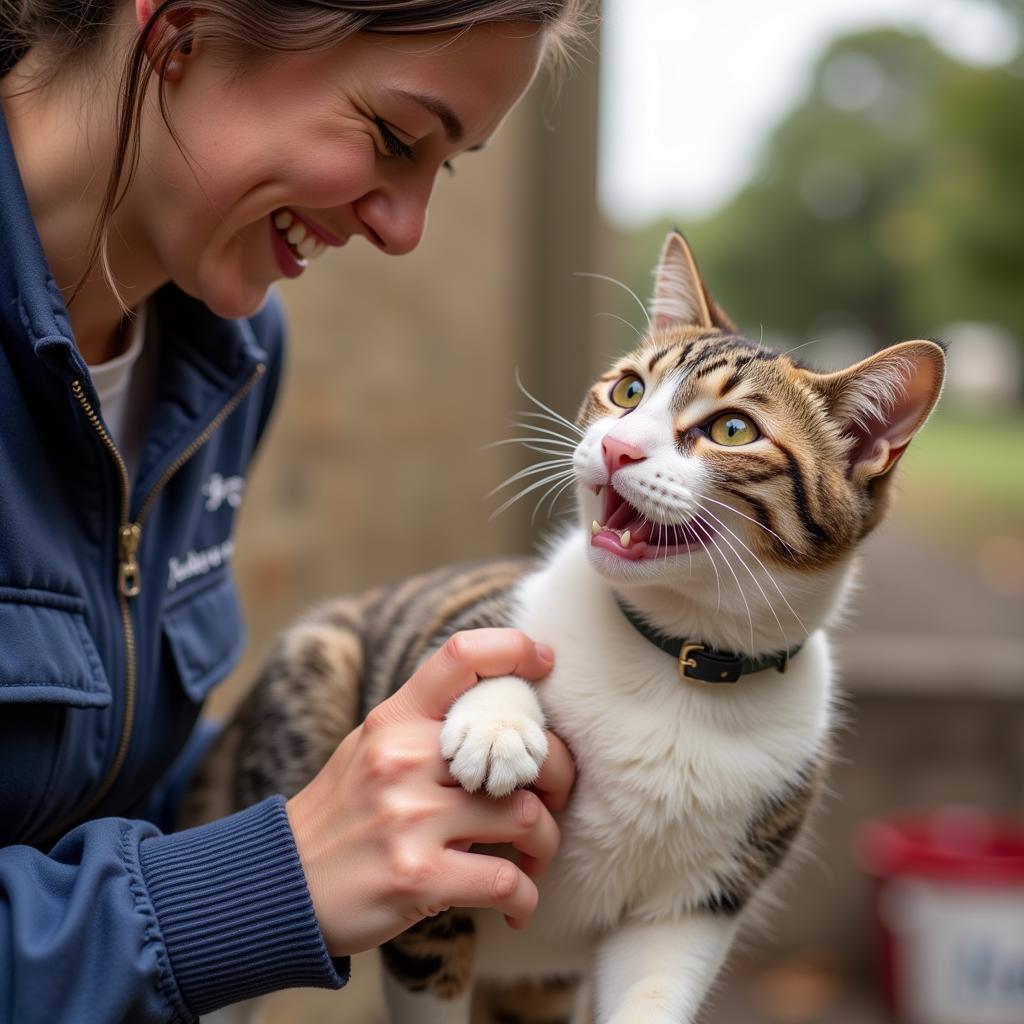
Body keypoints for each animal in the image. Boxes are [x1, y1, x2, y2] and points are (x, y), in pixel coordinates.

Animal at [182, 232, 942, 1024]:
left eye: (733, 430)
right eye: (629, 390)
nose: (617, 448)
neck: (677, 660)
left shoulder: (692, 910)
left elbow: (652, 993)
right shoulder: (432, 910)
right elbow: (480, 645)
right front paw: (496, 728)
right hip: (314, 667)